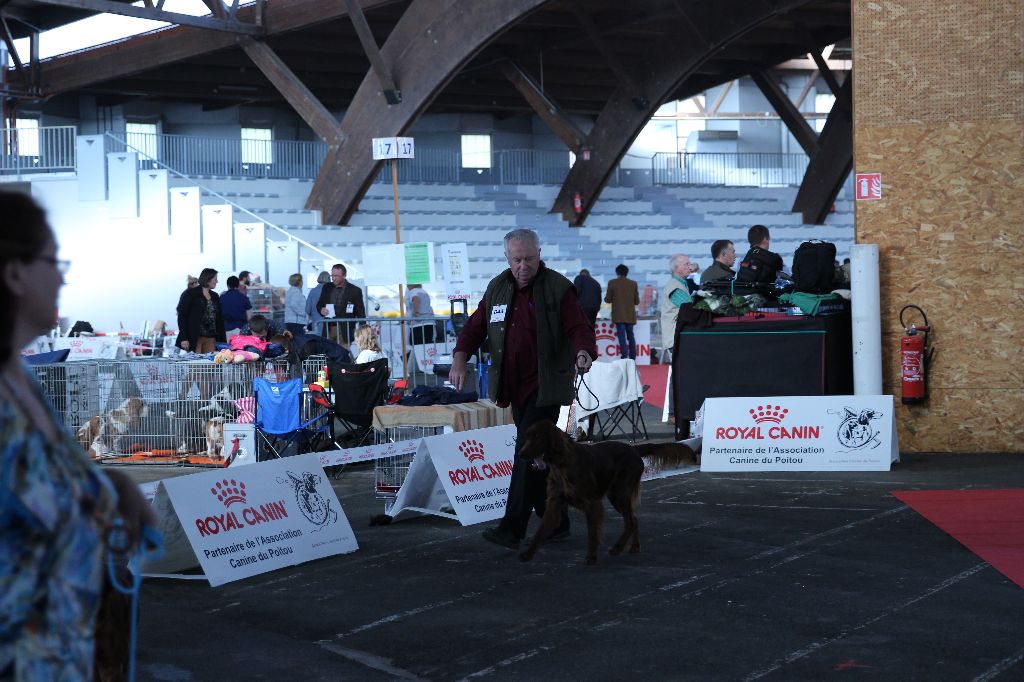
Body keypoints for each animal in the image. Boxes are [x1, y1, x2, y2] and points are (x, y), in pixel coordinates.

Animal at [520, 419, 696, 561]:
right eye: (527, 436)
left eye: (538, 437)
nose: (521, 454)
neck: (562, 464)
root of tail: (634, 449)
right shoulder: (555, 501)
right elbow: (540, 531)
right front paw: (527, 554)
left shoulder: (592, 502)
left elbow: (593, 532)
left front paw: (591, 558)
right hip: (616, 495)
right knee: (634, 519)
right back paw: (634, 546)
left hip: (620, 493)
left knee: (630, 521)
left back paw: (618, 548)